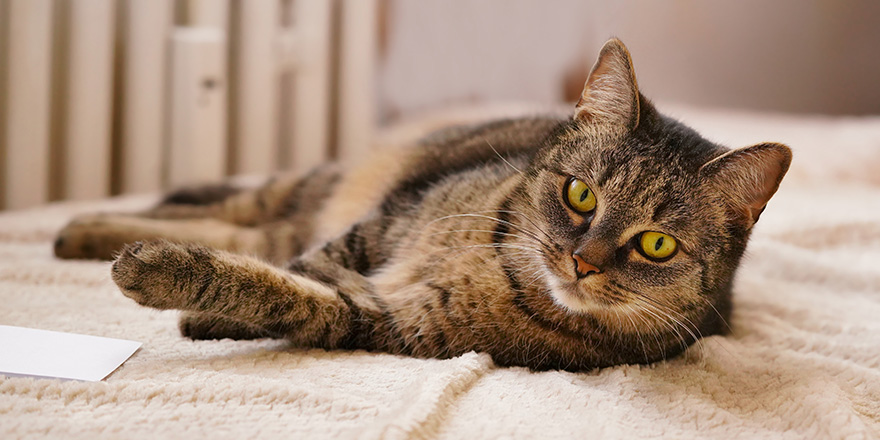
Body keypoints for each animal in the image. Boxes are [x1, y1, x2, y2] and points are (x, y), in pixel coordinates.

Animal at [58, 39, 796, 372]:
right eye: (581, 195)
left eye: (656, 244)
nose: (581, 262)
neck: (505, 268)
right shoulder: (381, 222)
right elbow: (307, 264)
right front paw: (194, 301)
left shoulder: (383, 319)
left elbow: (281, 289)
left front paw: (181, 290)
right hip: (325, 187)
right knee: (241, 214)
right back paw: (82, 228)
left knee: (247, 235)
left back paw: (86, 234)